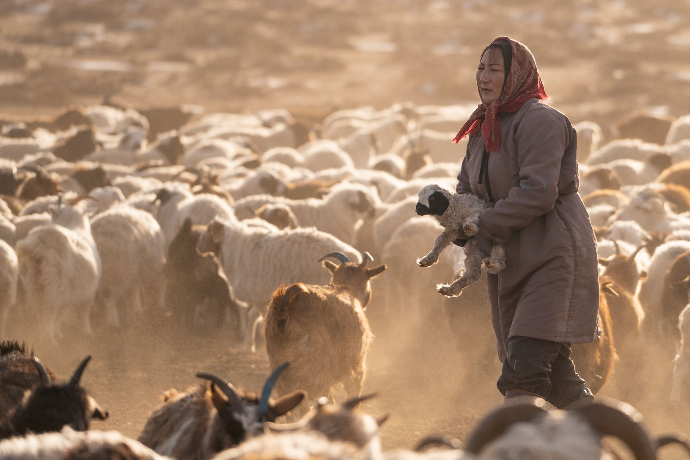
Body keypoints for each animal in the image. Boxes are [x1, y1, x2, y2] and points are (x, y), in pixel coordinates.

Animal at [15, 196, 101, 344]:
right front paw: (87, 332)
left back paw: (42, 337)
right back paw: (50, 340)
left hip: (33, 282)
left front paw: (59, 333)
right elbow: (83, 313)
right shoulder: (87, 291)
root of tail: (40, 242)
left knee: (40, 309)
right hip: (55, 284)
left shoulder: (69, 294)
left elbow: (61, 315)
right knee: (50, 310)